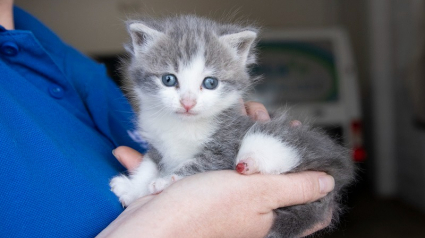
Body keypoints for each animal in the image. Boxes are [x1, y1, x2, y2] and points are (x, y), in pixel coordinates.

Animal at [110, 15, 354, 238]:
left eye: (210, 83)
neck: (183, 126)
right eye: (168, 79)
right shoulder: (156, 142)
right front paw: (132, 188)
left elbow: (203, 162)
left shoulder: (228, 140)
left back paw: (251, 162)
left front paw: (167, 180)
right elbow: (148, 164)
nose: (188, 102)